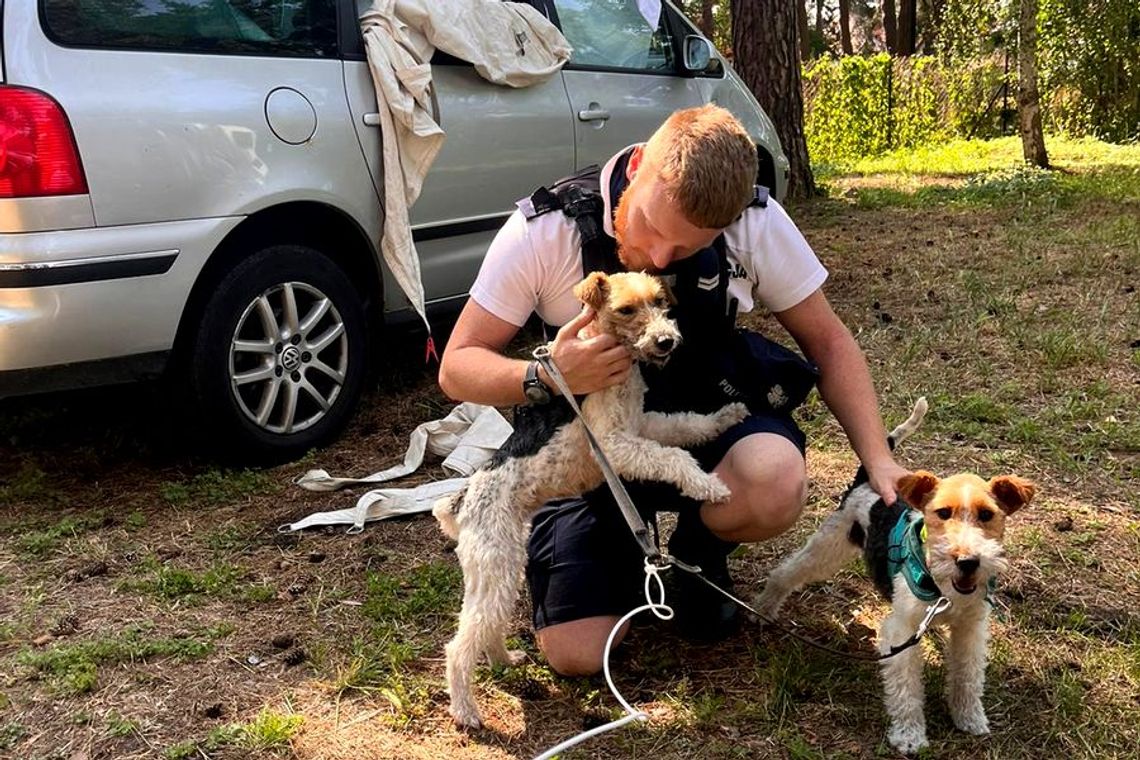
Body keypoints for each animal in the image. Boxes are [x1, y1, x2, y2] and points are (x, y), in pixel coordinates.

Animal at [433, 270, 747, 729]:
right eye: (626, 309)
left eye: (660, 302)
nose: (666, 341)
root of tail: (461, 504)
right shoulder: (616, 445)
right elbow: (674, 456)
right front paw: (708, 485)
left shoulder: (644, 425)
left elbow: (687, 426)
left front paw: (728, 416)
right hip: (496, 567)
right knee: (459, 646)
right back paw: (466, 712)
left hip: (496, 572)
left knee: (482, 628)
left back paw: (505, 659)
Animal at [756, 398, 1035, 756]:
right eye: (942, 513)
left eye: (987, 514)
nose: (967, 561)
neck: (944, 589)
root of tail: (866, 482)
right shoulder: (901, 631)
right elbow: (906, 691)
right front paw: (909, 736)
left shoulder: (970, 629)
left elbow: (968, 676)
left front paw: (969, 718)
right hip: (829, 546)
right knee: (786, 572)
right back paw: (763, 609)